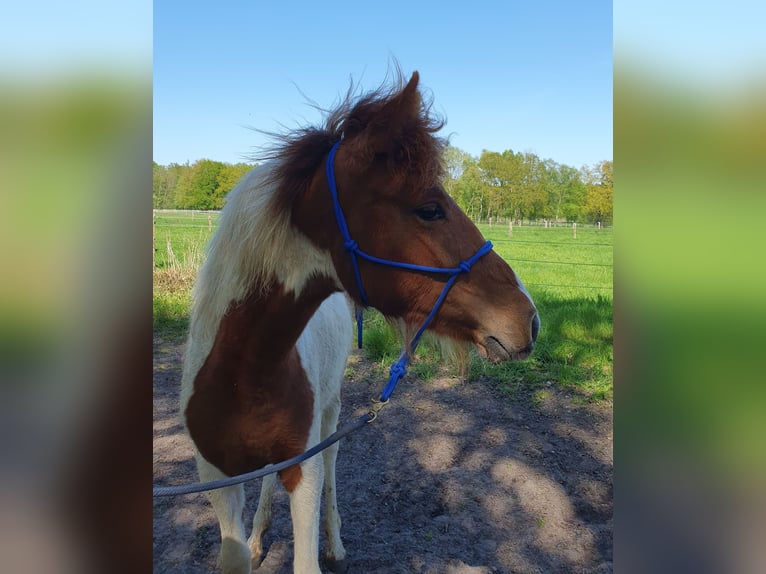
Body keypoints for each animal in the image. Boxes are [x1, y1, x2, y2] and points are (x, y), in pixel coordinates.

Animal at [180, 71, 540, 574]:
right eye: (430, 208)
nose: (528, 318)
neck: (242, 373)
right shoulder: (214, 476)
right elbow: (235, 550)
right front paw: (252, 540)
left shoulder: (304, 467)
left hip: (330, 413)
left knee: (332, 459)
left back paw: (335, 542)